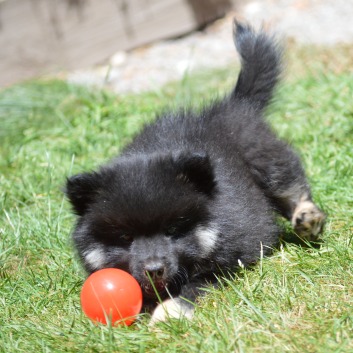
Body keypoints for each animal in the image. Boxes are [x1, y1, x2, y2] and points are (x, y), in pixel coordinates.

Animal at [65, 23, 324, 324]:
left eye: (172, 230)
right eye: (125, 238)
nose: (154, 269)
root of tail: (233, 105)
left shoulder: (223, 261)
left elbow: (195, 284)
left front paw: (170, 312)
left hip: (264, 157)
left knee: (292, 186)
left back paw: (308, 218)